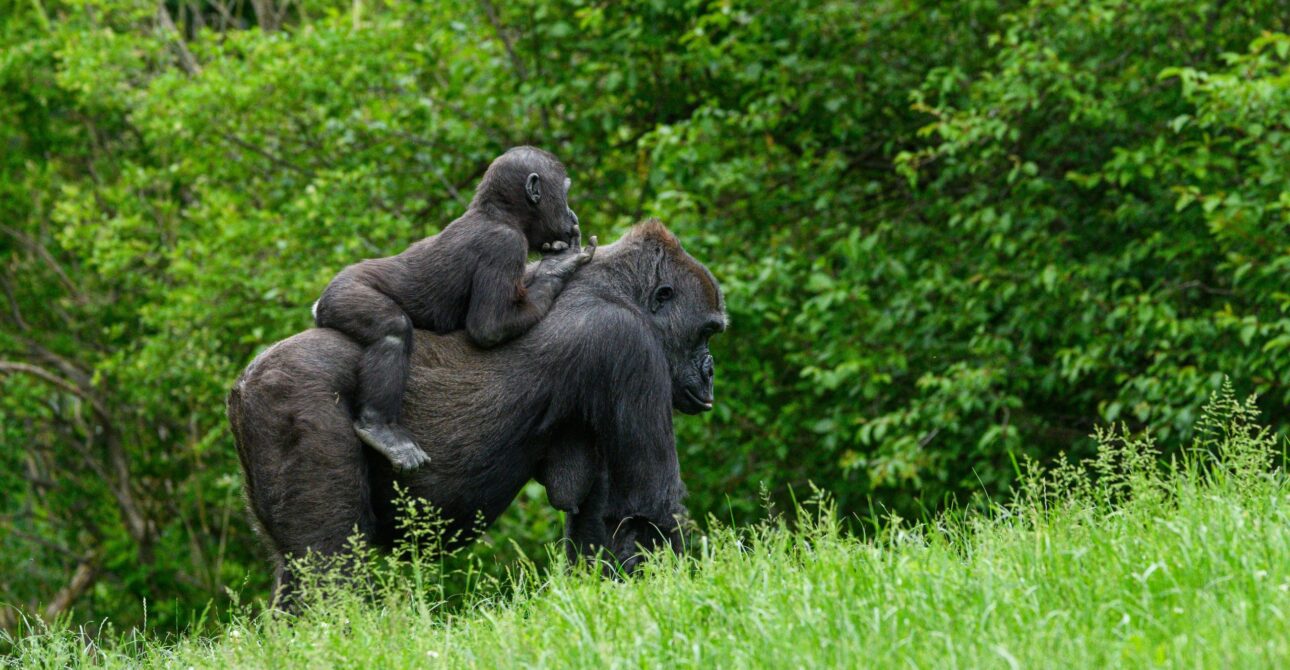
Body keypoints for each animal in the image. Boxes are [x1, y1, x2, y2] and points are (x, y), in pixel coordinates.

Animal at [311, 146, 594, 472]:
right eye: (565, 193)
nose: (571, 214)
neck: (501, 215)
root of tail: (318, 303)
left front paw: (554, 265)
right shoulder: (505, 245)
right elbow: (489, 327)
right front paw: (557, 270)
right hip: (344, 293)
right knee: (392, 330)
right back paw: (380, 428)